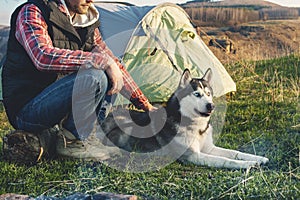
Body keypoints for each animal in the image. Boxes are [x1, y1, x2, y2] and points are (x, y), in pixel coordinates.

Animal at [102, 69, 268, 169]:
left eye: (208, 94)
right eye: (197, 94)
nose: (211, 105)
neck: (196, 128)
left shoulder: (209, 148)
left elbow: (234, 153)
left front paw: (258, 158)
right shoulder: (193, 156)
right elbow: (225, 160)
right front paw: (248, 164)